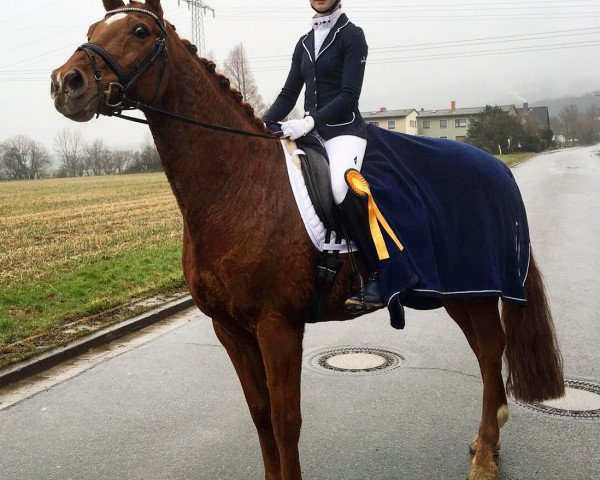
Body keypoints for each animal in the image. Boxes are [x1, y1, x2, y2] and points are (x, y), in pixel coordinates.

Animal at [49, 1, 564, 478]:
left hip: (473, 288)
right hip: (458, 292)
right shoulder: (230, 329)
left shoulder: (278, 325)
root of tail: (497, 167)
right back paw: (485, 443)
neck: (238, 185)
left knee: (490, 350)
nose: (64, 83)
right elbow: (260, 417)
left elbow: (285, 422)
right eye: (92, 29)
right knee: (484, 351)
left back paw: (486, 456)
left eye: (140, 30)